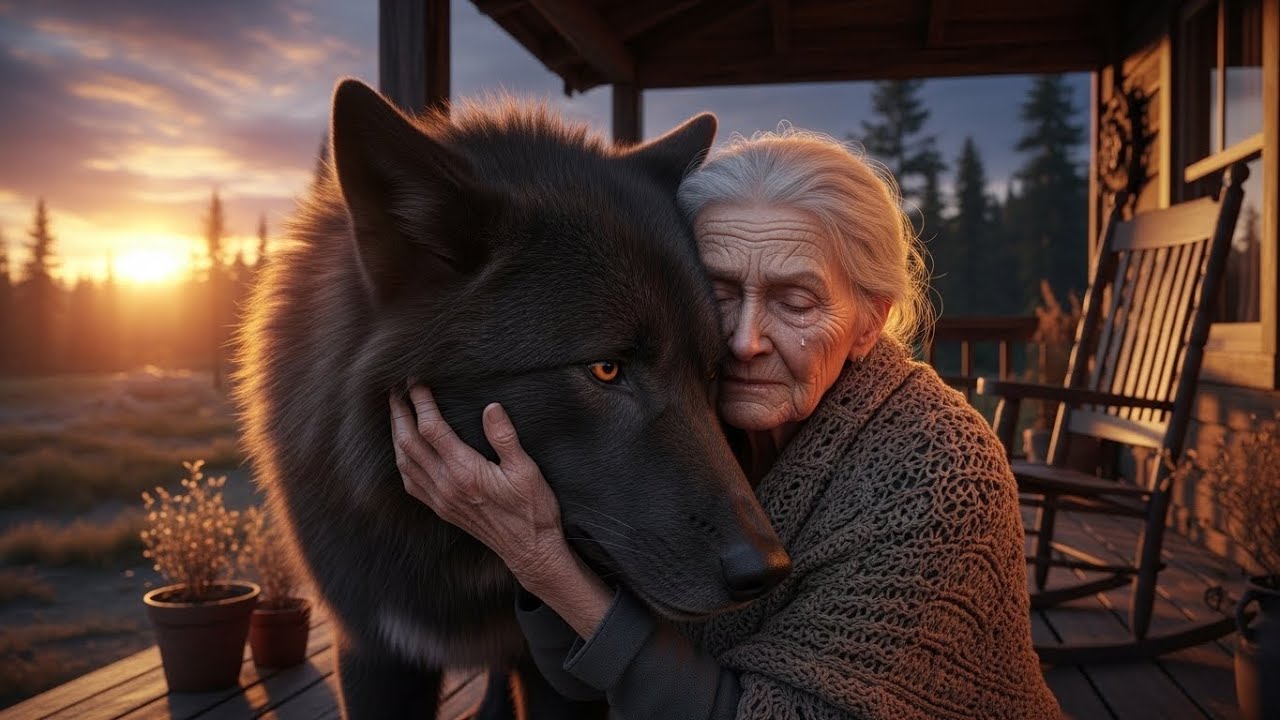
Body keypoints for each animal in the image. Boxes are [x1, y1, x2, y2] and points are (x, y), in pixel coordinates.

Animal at [233, 79, 790, 718]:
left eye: (713, 373)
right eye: (606, 368)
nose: (766, 570)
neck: (453, 558)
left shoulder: (557, 676)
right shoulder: (375, 652)